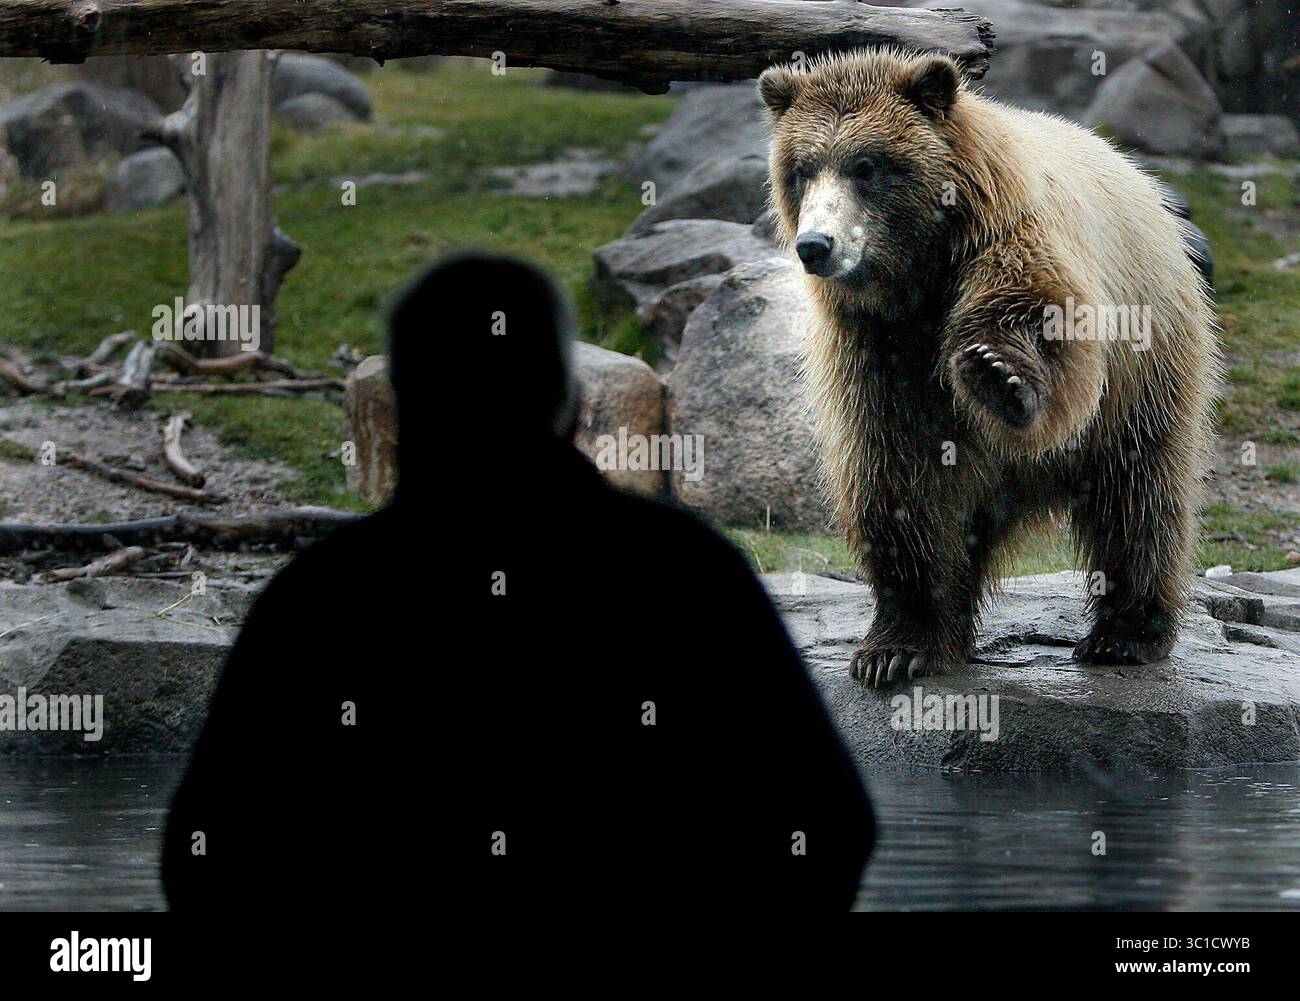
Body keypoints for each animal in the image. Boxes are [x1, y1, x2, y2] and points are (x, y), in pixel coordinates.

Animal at [758, 48, 1220, 687]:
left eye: (867, 165)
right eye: (801, 169)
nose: (816, 245)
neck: (920, 274)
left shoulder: (1010, 240)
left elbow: (1038, 318)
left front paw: (998, 375)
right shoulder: (876, 348)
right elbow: (899, 477)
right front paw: (898, 645)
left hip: (1147, 362)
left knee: (1138, 492)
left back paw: (1126, 633)